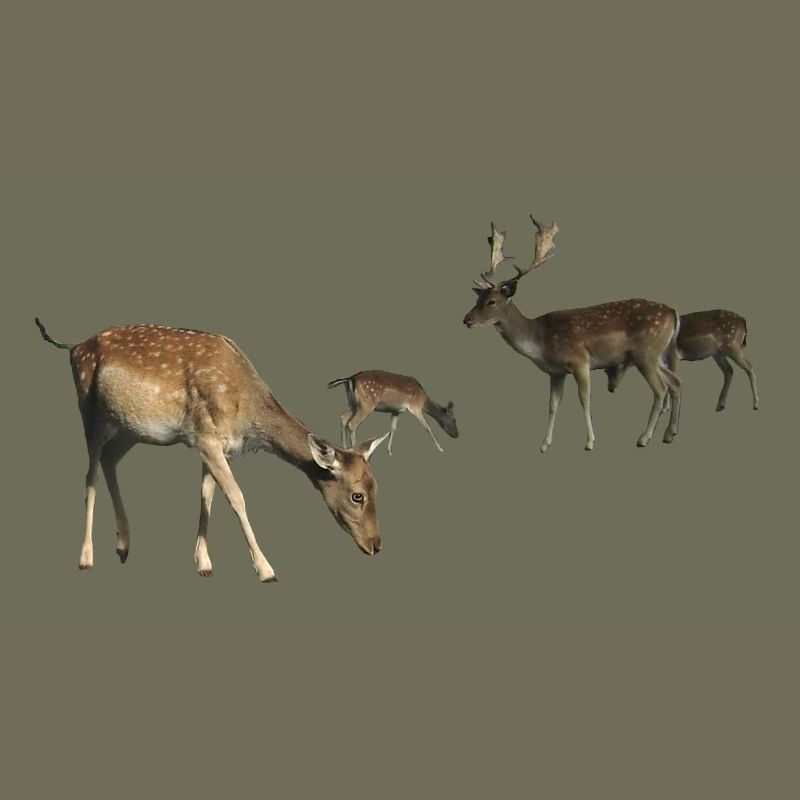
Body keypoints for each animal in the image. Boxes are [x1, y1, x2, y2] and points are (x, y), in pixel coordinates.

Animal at [35, 318, 390, 582]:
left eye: (378, 488)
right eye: (357, 495)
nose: (376, 545)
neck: (245, 412)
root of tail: (73, 347)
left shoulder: (213, 443)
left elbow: (207, 495)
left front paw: (204, 563)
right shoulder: (205, 436)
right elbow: (236, 496)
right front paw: (266, 569)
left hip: (130, 428)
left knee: (109, 460)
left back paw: (123, 546)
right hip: (89, 410)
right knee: (89, 473)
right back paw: (86, 557)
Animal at [328, 370, 458, 455]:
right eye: (454, 419)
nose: (457, 435)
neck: (423, 400)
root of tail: (350, 378)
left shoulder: (396, 411)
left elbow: (393, 428)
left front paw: (389, 451)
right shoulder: (415, 407)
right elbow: (427, 427)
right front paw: (440, 448)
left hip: (353, 403)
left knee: (343, 417)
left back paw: (344, 450)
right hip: (366, 404)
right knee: (352, 423)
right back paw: (356, 453)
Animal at [463, 215, 682, 451]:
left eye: (492, 301)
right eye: (477, 298)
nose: (466, 320)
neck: (540, 340)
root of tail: (674, 312)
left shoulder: (580, 361)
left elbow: (584, 400)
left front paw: (590, 442)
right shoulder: (556, 372)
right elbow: (552, 404)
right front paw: (544, 444)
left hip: (645, 353)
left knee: (661, 389)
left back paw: (644, 438)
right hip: (656, 355)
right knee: (675, 383)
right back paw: (669, 434)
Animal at [605, 309, 759, 412]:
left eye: (616, 366)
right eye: (606, 370)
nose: (611, 388)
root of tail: (743, 321)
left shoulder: (673, 355)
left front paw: (665, 408)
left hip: (733, 345)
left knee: (749, 366)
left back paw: (756, 404)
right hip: (718, 353)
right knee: (729, 370)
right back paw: (720, 405)